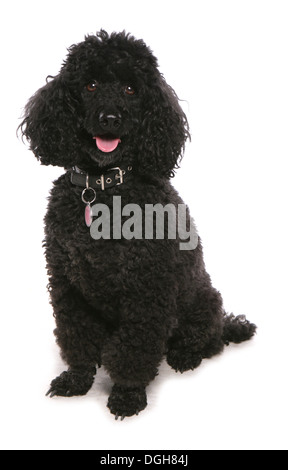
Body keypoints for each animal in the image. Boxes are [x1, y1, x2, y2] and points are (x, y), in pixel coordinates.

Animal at [19, 30, 255, 418]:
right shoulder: (68, 282)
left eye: (131, 89)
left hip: (203, 302)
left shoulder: (145, 288)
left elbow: (134, 348)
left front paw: (127, 394)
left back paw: (185, 355)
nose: (110, 118)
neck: (102, 188)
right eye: (90, 84)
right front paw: (77, 379)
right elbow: (77, 335)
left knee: (209, 342)